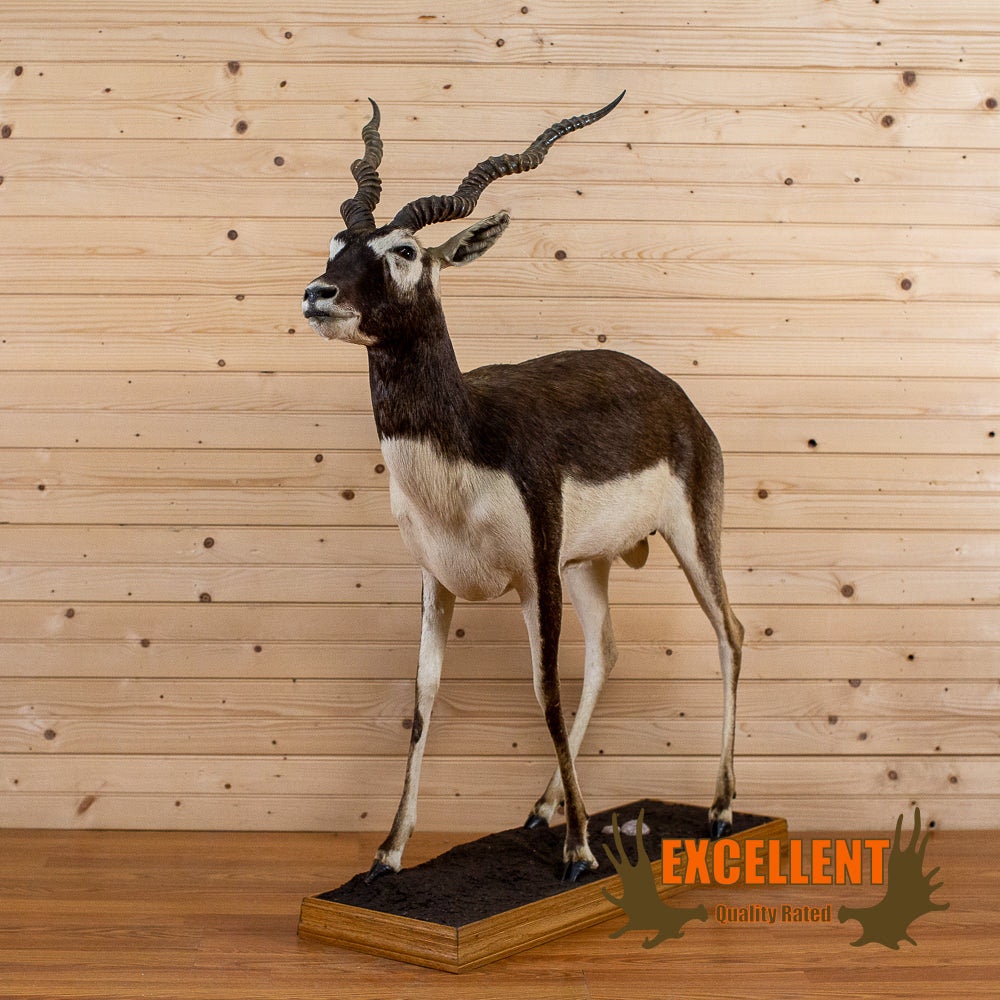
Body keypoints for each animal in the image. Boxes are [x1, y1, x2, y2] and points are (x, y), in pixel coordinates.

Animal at [302, 95, 743, 883]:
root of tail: (675, 395)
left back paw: (719, 810)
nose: (319, 293)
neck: (466, 442)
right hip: (590, 564)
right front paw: (387, 853)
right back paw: (544, 808)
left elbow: (545, 690)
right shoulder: (435, 578)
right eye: (336, 243)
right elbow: (424, 697)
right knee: (607, 655)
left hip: (690, 536)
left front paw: (580, 852)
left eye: (404, 251)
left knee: (731, 634)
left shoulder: (535, 572)